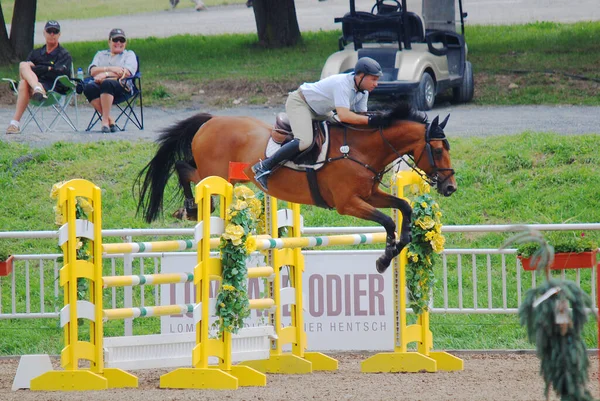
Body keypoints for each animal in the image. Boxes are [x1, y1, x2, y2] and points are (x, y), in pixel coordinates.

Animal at [135, 103, 454, 272]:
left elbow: (405, 207)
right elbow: (387, 220)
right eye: (438, 150)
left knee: (185, 168)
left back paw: (189, 209)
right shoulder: (348, 203)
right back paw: (190, 208)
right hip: (214, 174)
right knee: (183, 169)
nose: (450, 187)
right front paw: (385, 258)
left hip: (226, 175)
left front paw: (401, 243)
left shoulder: (370, 194)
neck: (360, 150)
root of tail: (211, 121)